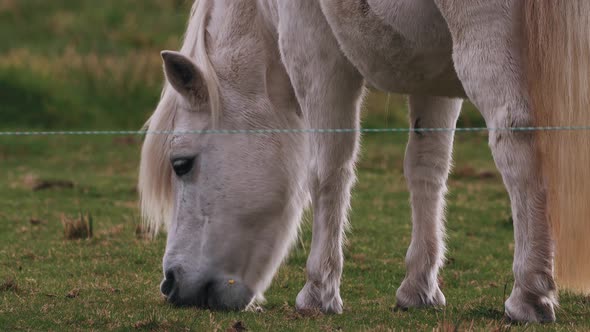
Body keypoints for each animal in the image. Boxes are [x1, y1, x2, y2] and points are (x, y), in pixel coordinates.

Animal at [140, 0, 590, 322]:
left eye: (181, 164)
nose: (170, 283)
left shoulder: (313, 48)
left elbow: (328, 168)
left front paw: (319, 291)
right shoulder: (432, 77)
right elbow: (427, 166)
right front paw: (419, 287)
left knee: (515, 141)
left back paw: (529, 294)